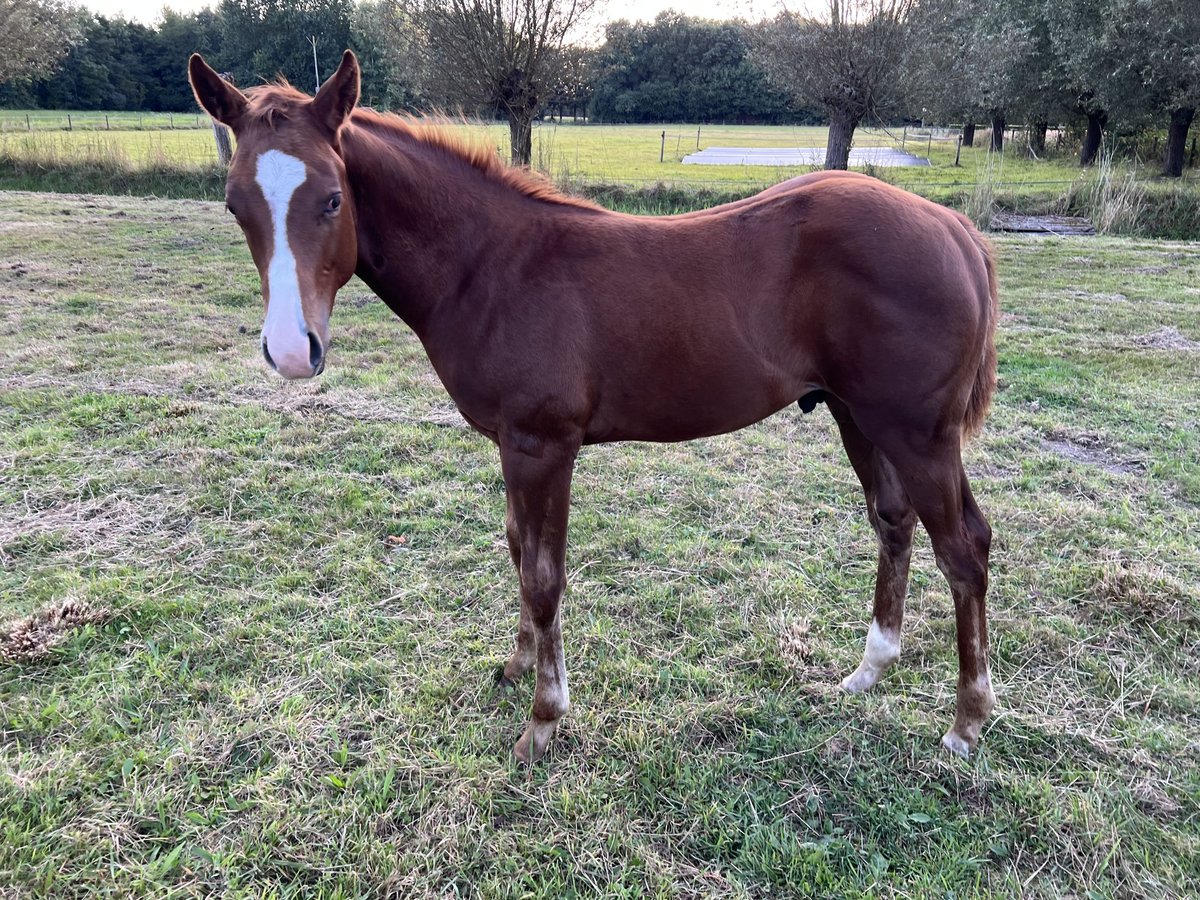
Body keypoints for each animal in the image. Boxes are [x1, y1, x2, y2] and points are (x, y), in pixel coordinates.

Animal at [189, 50, 1000, 763]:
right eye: (234, 205)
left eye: (332, 197)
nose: (293, 352)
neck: (491, 266)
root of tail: (955, 229)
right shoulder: (511, 444)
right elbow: (517, 548)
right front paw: (516, 667)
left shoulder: (543, 445)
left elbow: (544, 574)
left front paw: (543, 722)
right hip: (856, 416)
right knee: (893, 523)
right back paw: (869, 670)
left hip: (918, 432)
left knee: (964, 547)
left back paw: (966, 723)